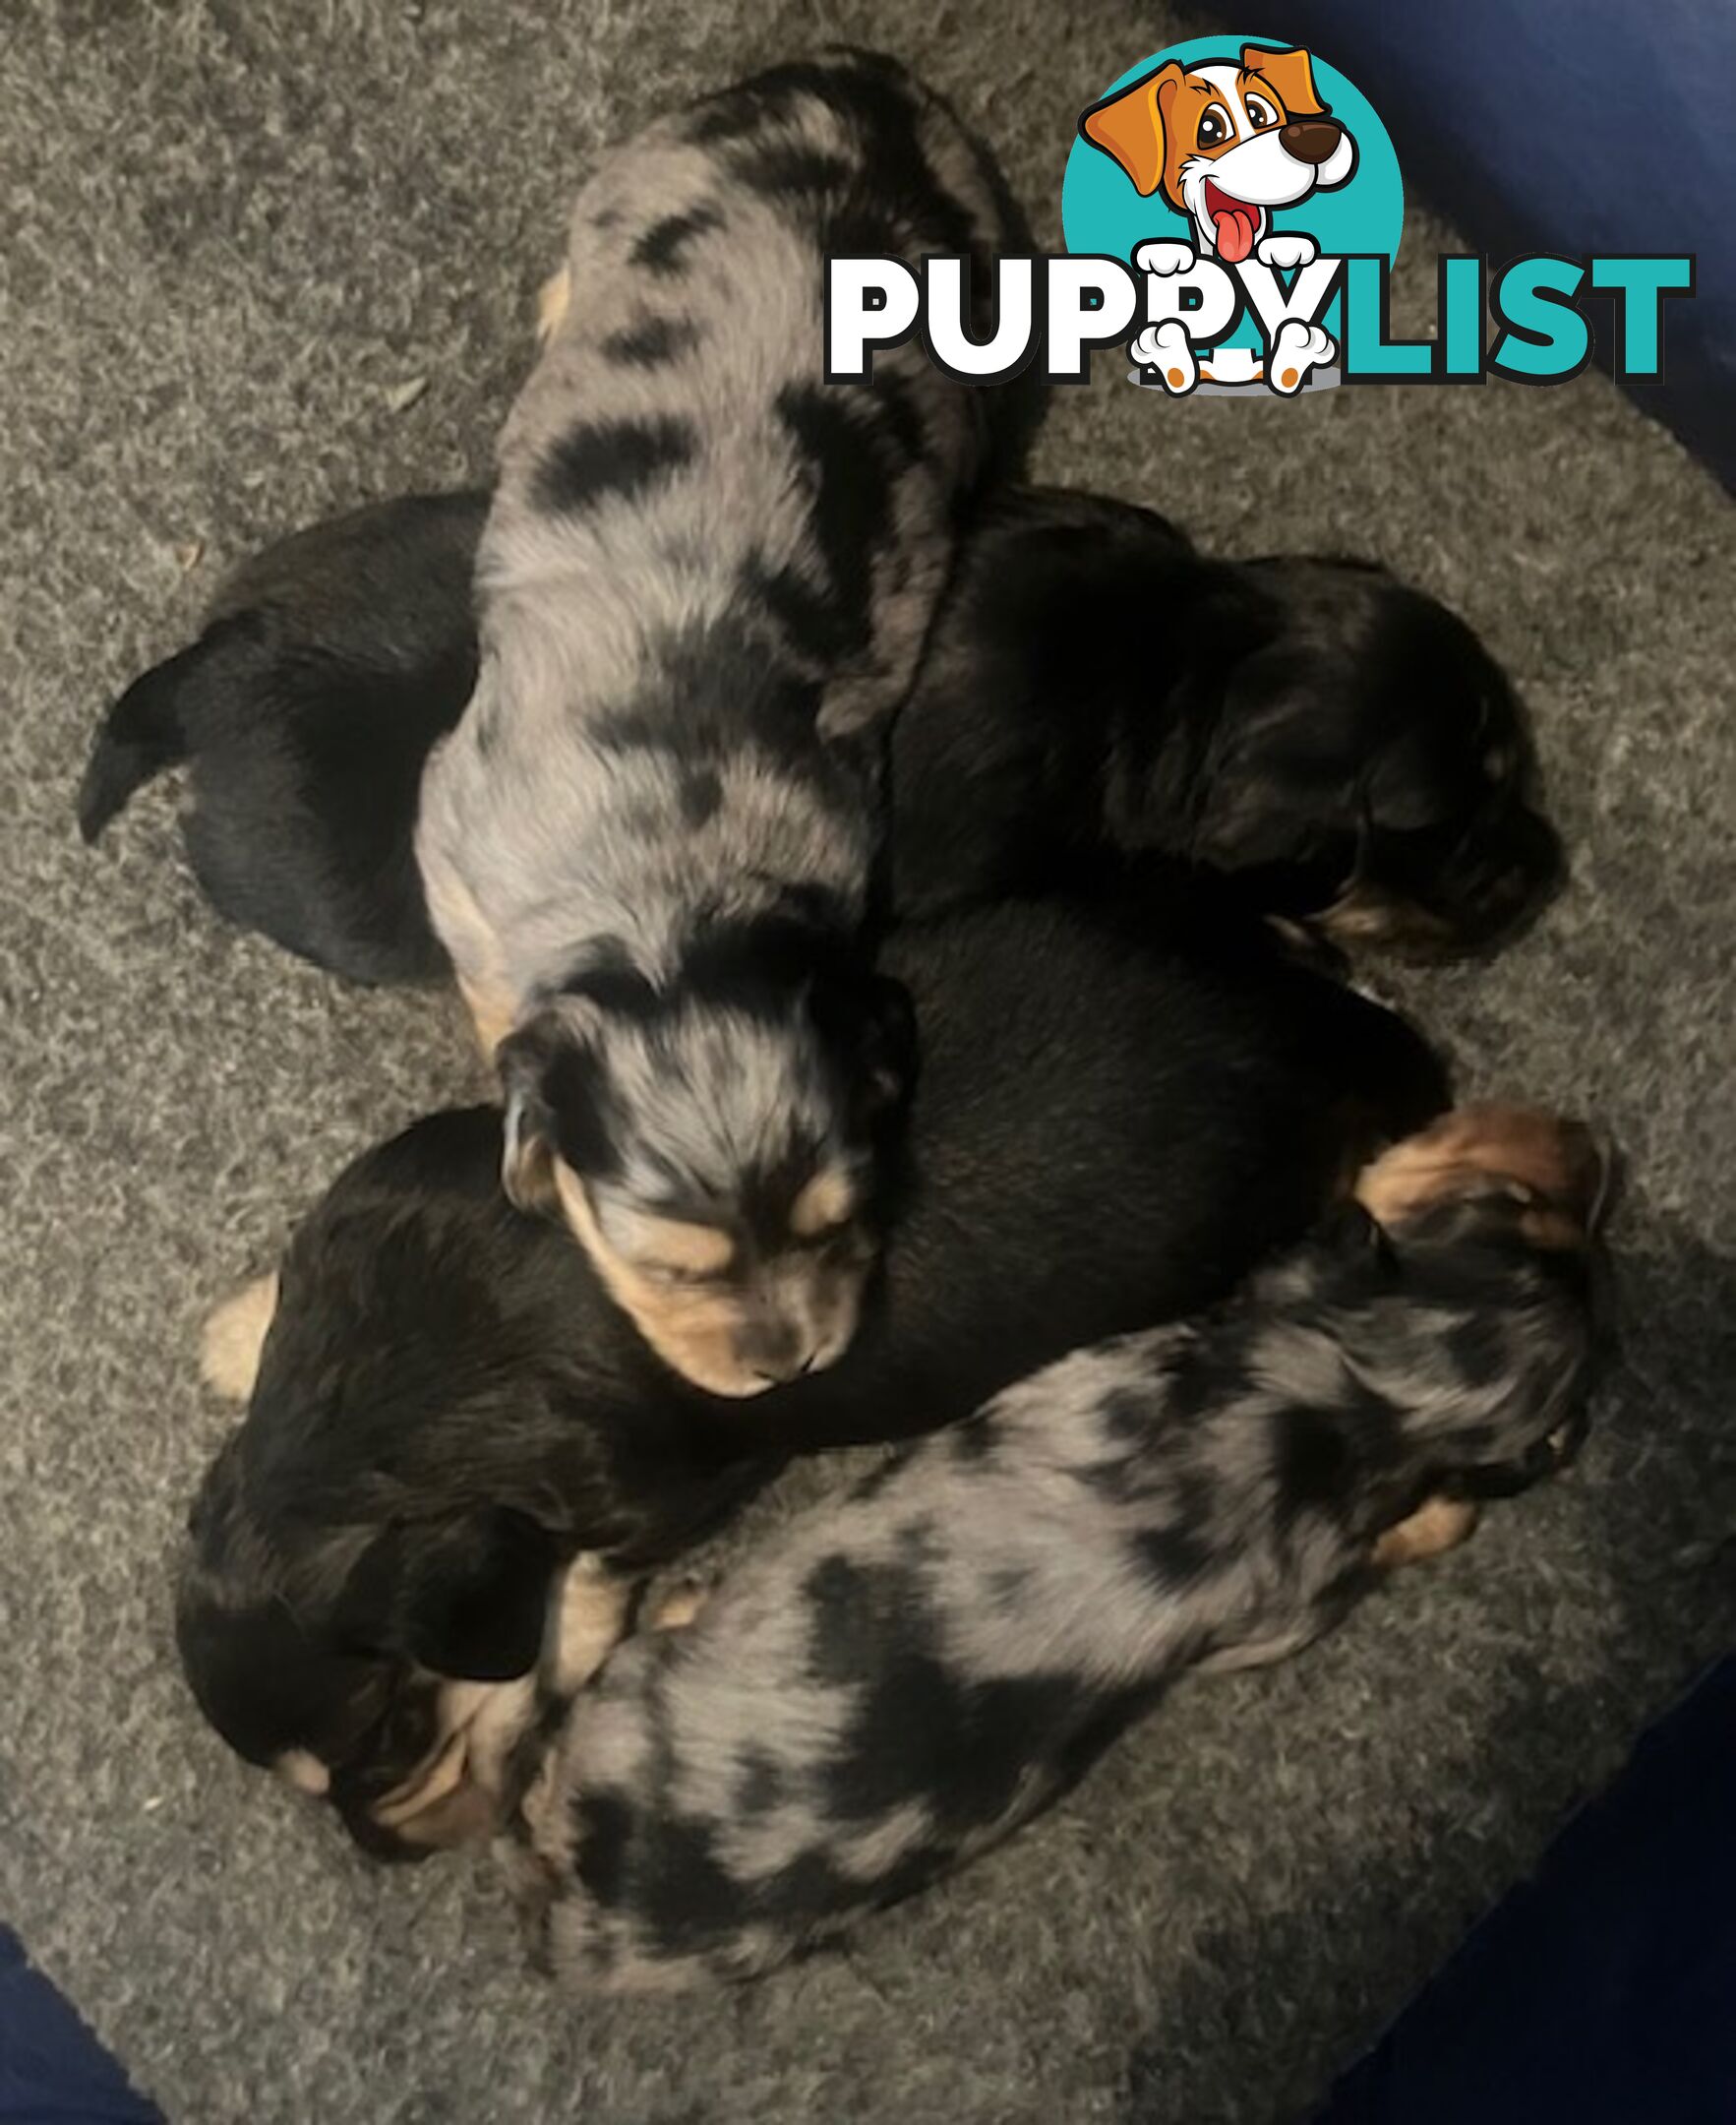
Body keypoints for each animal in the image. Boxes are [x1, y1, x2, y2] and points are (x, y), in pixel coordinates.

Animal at [179, 896, 1453, 1861]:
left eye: (393, 1733)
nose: (382, 1850)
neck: (371, 1413)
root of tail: (1317, 1042)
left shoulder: (662, 1491)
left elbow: (585, 1579)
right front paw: (240, 1334)